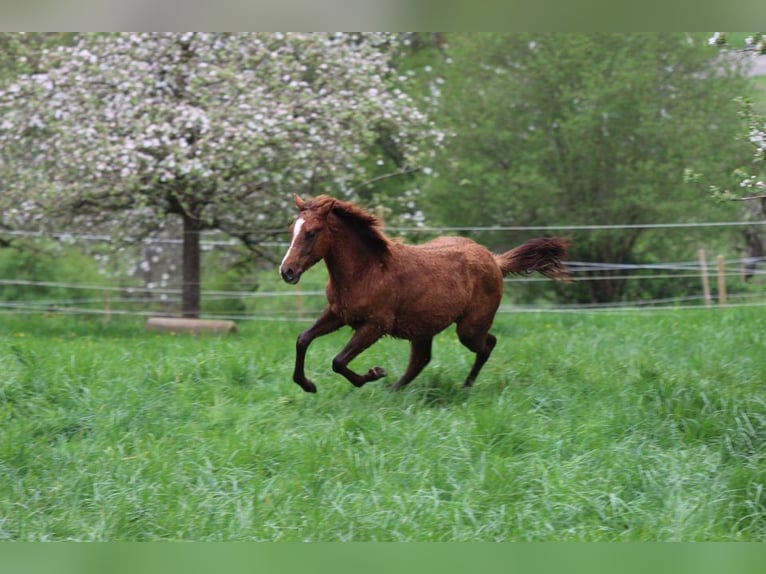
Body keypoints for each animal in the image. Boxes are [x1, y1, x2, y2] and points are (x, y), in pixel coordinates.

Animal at [280, 196, 568, 394]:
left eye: (311, 233)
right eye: (291, 230)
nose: (287, 271)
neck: (366, 270)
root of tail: (495, 261)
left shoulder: (375, 325)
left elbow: (338, 361)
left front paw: (374, 374)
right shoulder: (337, 313)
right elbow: (302, 339)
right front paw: (307, 385)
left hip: (469, 328)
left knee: (488, 344)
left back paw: (465, 387)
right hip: (423, 328)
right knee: (421, 360)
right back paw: (394, 391)